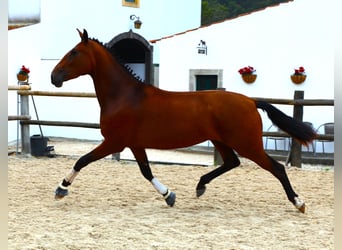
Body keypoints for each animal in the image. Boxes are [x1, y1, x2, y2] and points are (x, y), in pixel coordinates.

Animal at [50, 29, 316, 213]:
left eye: (74, 52)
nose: (54, 77)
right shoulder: (134, 144)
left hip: (247, 143)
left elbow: (82, 160)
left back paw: (299, 202)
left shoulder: (114, 142)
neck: (125, 96)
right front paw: (169, 195)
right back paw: (200, 186)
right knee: (232, 162)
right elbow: (146, 171)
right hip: (220, 140)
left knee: (276, 168)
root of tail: (250, 101)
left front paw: (61, 189)